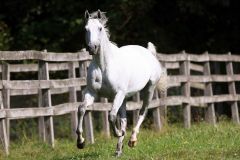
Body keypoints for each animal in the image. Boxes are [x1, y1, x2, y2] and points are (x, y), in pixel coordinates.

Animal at [76, 9, 167, 156]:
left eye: (100, 28)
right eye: (86, 29)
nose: (92, 48)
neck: (104, 66)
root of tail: (149, 52)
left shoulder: (118, 94)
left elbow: (112, 116)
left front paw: (118, 133)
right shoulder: (91, 92)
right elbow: (81, 109)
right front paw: (80, 142)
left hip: (148, 90)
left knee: (142, 112)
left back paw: (132, 140)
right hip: (124, 98)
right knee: (124, 119)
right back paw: (119, 149)